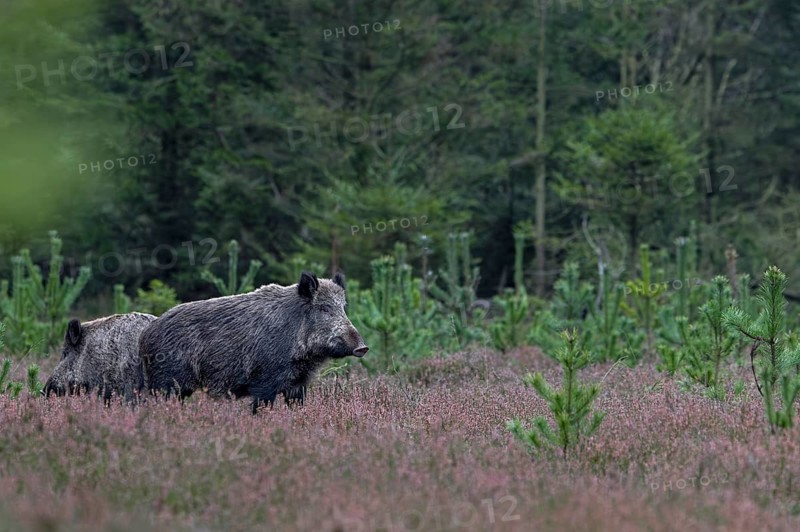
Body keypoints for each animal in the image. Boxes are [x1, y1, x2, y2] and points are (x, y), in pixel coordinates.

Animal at [139, 272, 368, 413]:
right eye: (324, 308)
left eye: (343, 307)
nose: (363, 347)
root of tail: (145, 334)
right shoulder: (264, 381)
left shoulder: (298, 384)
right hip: (166, 383)